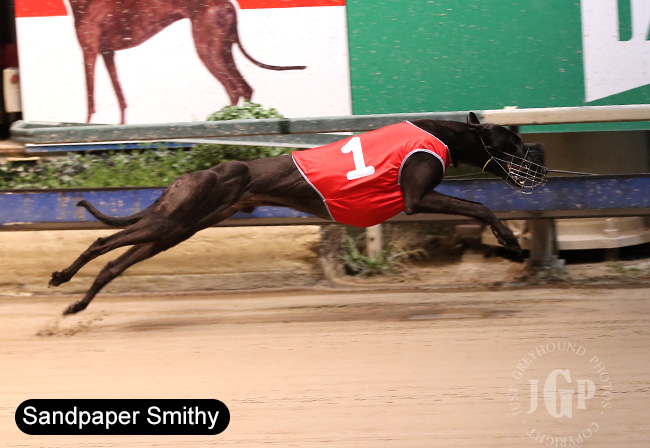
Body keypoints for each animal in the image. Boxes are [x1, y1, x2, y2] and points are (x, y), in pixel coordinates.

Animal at [49, 112, 547, 315]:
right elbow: (479, 204)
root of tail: (189, 175)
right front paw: (510, 241)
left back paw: (78, 304)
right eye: (514, 142)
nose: (539, 164)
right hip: (171, 220)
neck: (449, 133)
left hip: (177, 229)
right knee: (102, 242)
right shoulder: (416, 197)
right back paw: (61, 277)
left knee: (114, 264)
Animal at [68, 0, 305, 124]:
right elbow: (121, 100)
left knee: (234, 88)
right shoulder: (108, 53)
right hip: (222, 49)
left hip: (207, 50)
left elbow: (90, 102)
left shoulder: (89, 52)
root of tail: (228, 4)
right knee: (244, 88)